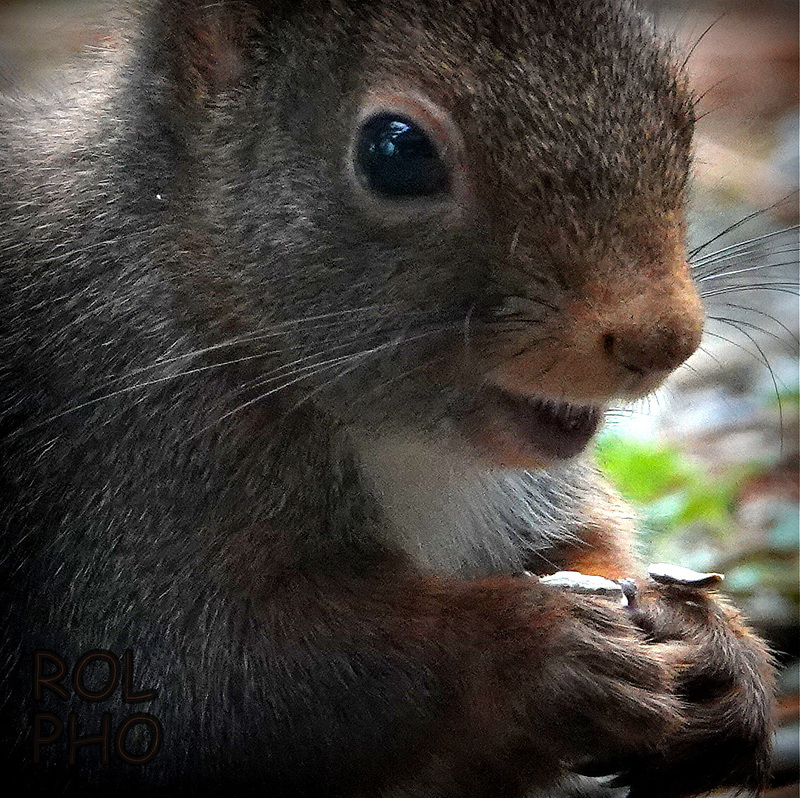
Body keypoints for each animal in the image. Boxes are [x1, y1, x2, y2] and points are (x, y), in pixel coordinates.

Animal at [0, 1, 776, 798]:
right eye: (396, 151)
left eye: (677, 109)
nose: (664, 339)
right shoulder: (120, 469)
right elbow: (196, 682)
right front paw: (531, 647)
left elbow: (578, 545)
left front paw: (710, 644)